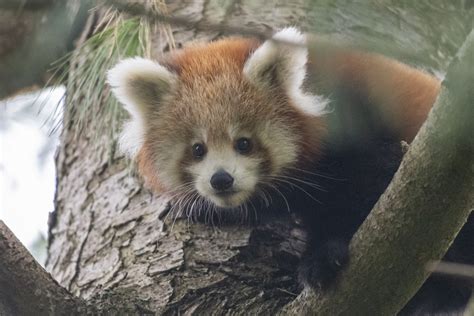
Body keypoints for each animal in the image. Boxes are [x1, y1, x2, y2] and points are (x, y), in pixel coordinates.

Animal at [108, 28, 474, 314]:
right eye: (198, 149)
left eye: (244, 143)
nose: (221, 179)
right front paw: (204, 208)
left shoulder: (360, 128)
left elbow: (361, 193)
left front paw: (323, 257)